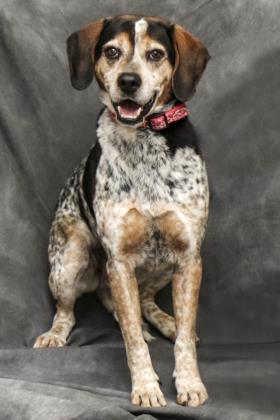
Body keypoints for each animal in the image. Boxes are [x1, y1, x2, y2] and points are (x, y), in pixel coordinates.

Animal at [34, 14, 210, 408]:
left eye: (156, 54)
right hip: (69, 259)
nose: (129, 81)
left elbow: (184, 335)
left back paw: (168, 322)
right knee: (71, 309)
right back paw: (56, 333)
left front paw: (189, 381)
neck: (144, 142)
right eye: (112, 51)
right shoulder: (119, 261)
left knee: (146, 301)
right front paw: (145, 388)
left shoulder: (189, 256)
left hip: (164, 264)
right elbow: (130, 337)